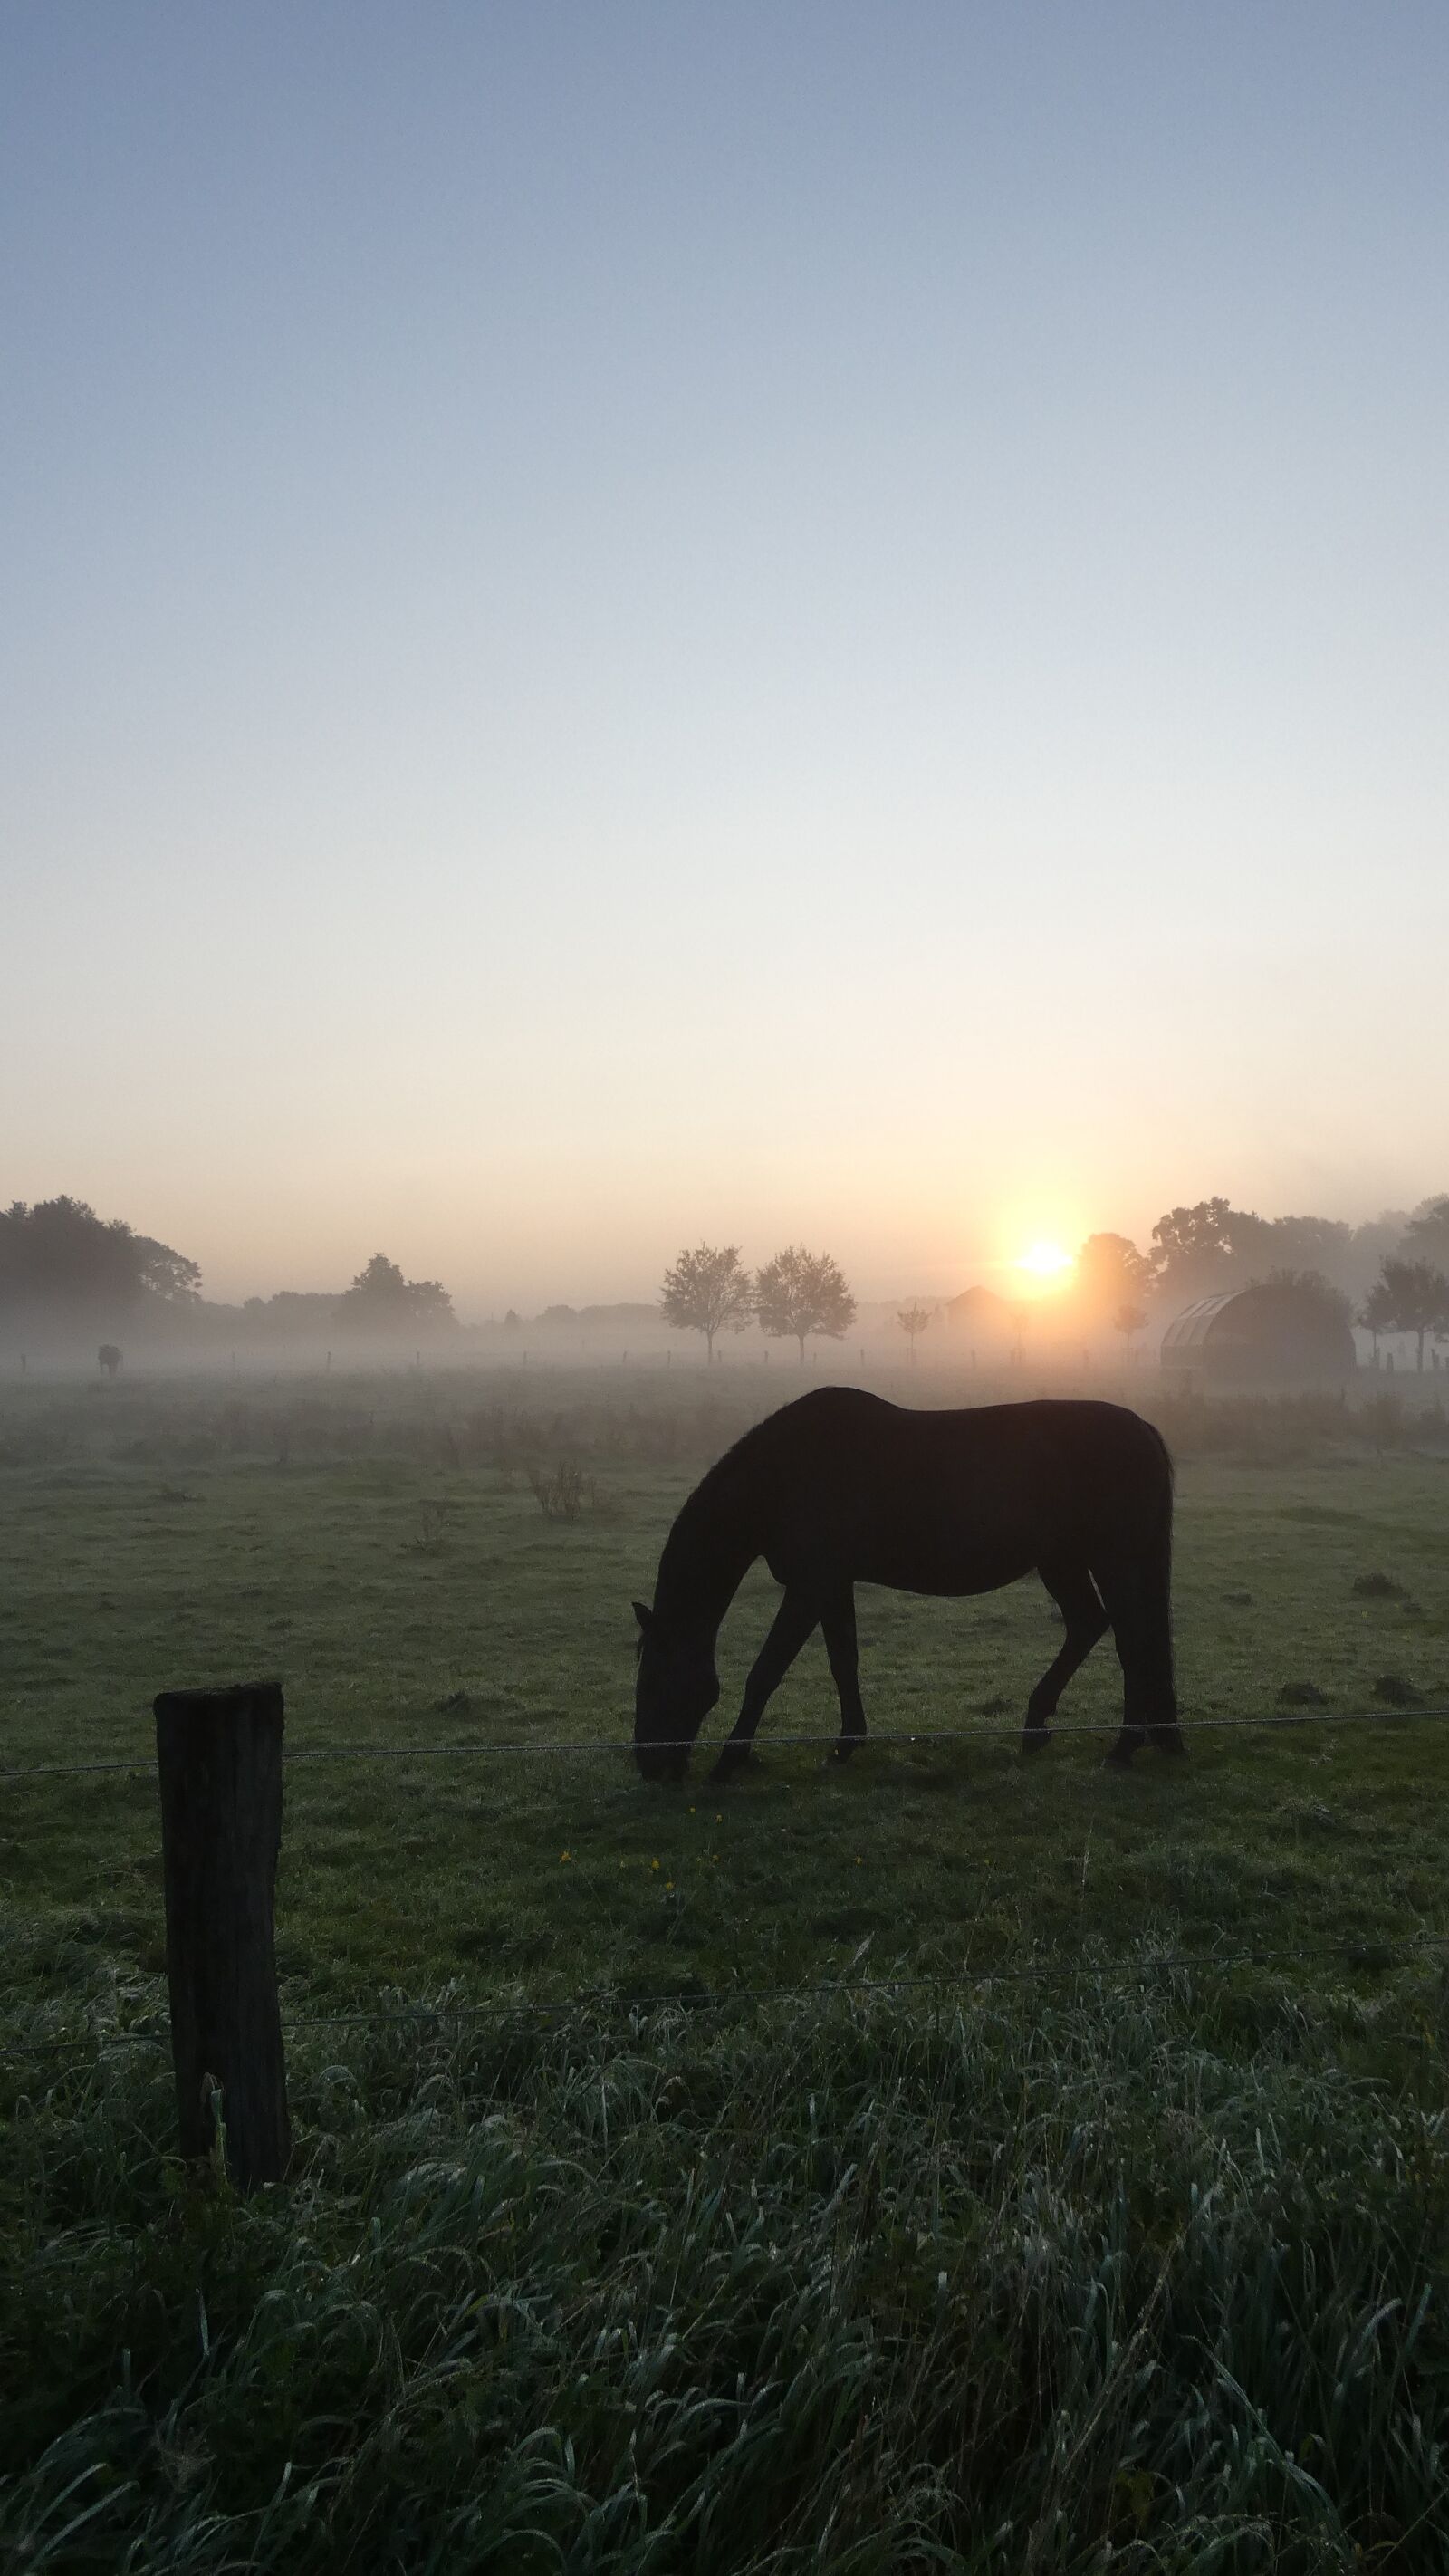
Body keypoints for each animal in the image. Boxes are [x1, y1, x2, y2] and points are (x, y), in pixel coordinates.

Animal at [632, 1388, 1182, 1783]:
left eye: (655, 1679)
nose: (648, 1764)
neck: (785, 1476)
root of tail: (1146, 1431)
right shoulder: (833, 1586)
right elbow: (843, 1662)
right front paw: (847, 1744)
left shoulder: (809, 1588)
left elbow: (765, 1672)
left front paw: (731, 1757)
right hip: (1062, 1562)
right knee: (1090, 1625)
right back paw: (1038, 1727)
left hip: (1111, 1562)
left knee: (1132, 1640)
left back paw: (1124, 1746)